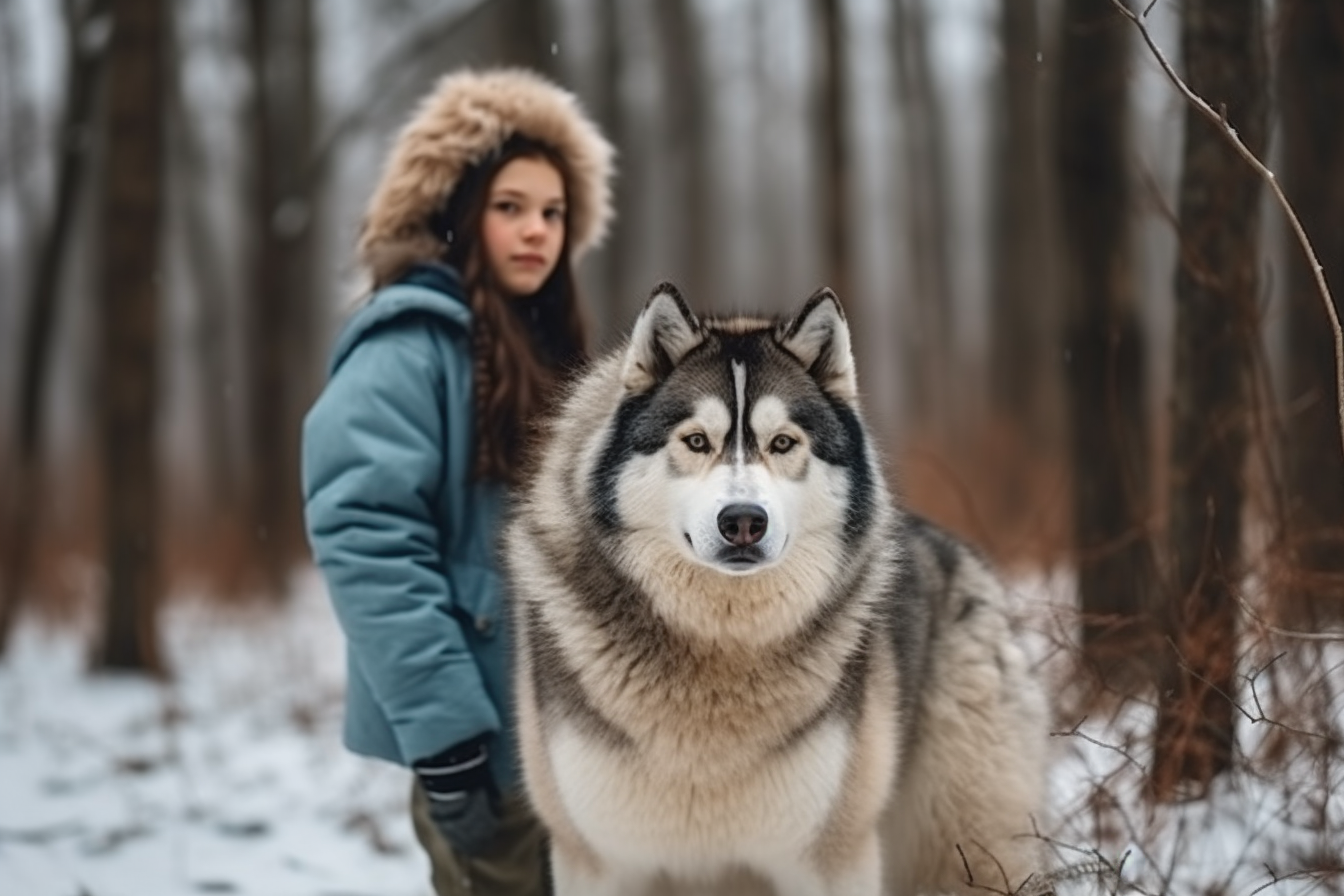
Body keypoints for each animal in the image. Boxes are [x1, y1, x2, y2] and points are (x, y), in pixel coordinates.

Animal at [502, 286, 1048, 896]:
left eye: (783, 442)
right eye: (697, 441)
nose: (743, 521)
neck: (719, 646)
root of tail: (966, 556)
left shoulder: (831, 860)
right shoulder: (595, 861)